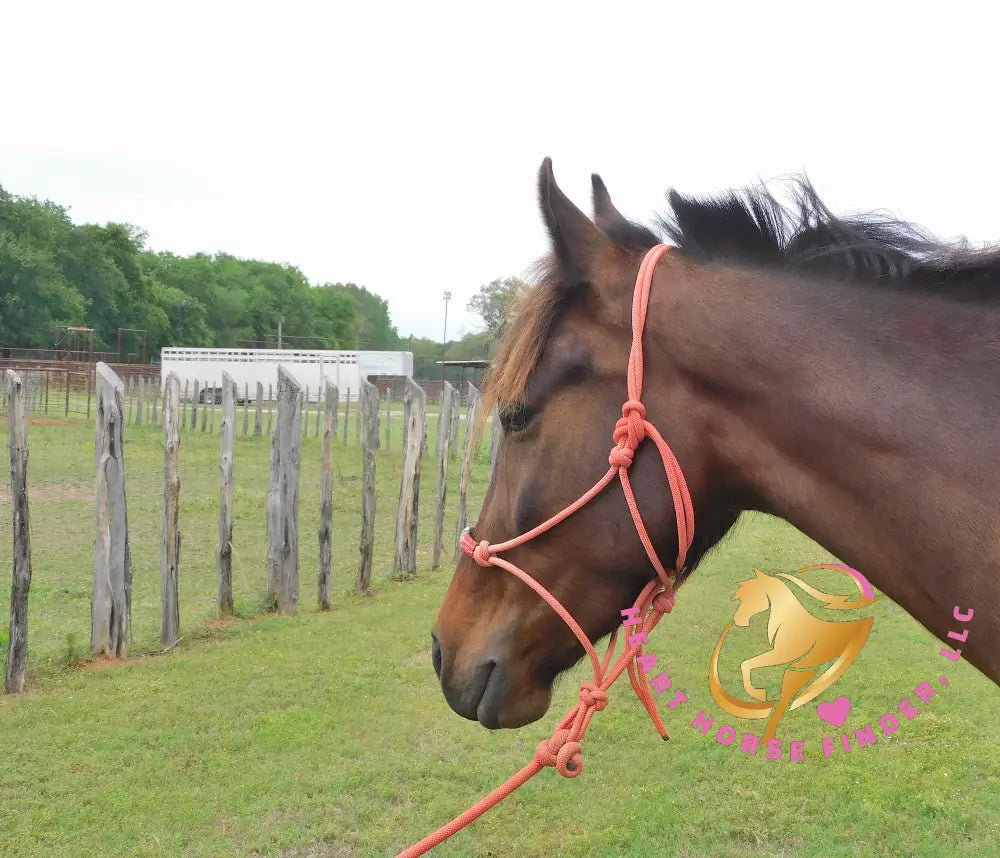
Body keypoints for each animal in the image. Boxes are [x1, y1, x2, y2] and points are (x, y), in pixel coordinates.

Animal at [709, 567, 880, 742]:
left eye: (750, 595)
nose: (738, 619)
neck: (792, 623)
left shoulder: (783, 655)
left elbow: (747, 663)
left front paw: (757, 693)